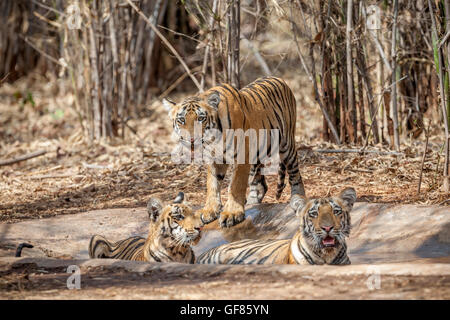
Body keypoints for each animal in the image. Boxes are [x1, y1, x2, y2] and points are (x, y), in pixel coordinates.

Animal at [164, 76, 306, 229]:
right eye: (181, 120)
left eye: (201, 118)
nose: (191, 139)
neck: (214, 137)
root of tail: (280, 79)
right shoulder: (215, 158)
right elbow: (212, 184)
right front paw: (209, 210)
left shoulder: (242, 154)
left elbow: (235, 185)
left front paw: (232, 213)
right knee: (260, 182)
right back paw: (252, 201)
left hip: (287, 145)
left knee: (295, 174)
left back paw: (298, 199)